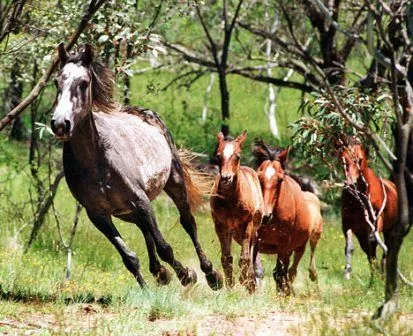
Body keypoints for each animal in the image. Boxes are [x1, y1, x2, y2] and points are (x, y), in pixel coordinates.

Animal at [50, 43, 222, 290]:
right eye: (57, 82)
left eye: (83, 83)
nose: (60, 124)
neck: (98, 162)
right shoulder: (98, 215)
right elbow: (129, 257)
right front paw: (148, 288)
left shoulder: (140, 201)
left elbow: (165, 247)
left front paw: (187, 275)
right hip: (127, 213)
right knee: (145, 231)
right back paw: (160, 273)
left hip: (173, 183)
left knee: (188, 223)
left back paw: (211, 274)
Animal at [209, 130, 264, 292]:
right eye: (218, 155)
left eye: (238, 156)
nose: (226, 178)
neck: (231, 201)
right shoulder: (220, 225)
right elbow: (226, 258)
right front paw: (229, 286)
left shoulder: (247, 223)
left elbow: (244, 257)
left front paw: (245, 280)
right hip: (234, 231)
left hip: (251, 228)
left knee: (251, 247)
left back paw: (250, 280)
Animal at [251, 140, 322, 296]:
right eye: (259, 176)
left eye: (280, 179)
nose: (265, 216)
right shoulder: (255, 240)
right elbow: (255, 268)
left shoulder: (283, 245)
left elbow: (279, 272)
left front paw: (282, 293)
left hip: (306, 241)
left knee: (294, 269)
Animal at [336, 135, 398, 280]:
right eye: (343, 160)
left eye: (360, 160)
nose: (350, 184)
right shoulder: (347, 224)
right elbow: (349, 247)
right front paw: (347, 272)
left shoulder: (377, 219)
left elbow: (374, 243)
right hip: (361, 233)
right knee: (370, 252)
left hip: (390, 230)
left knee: (385, 249)